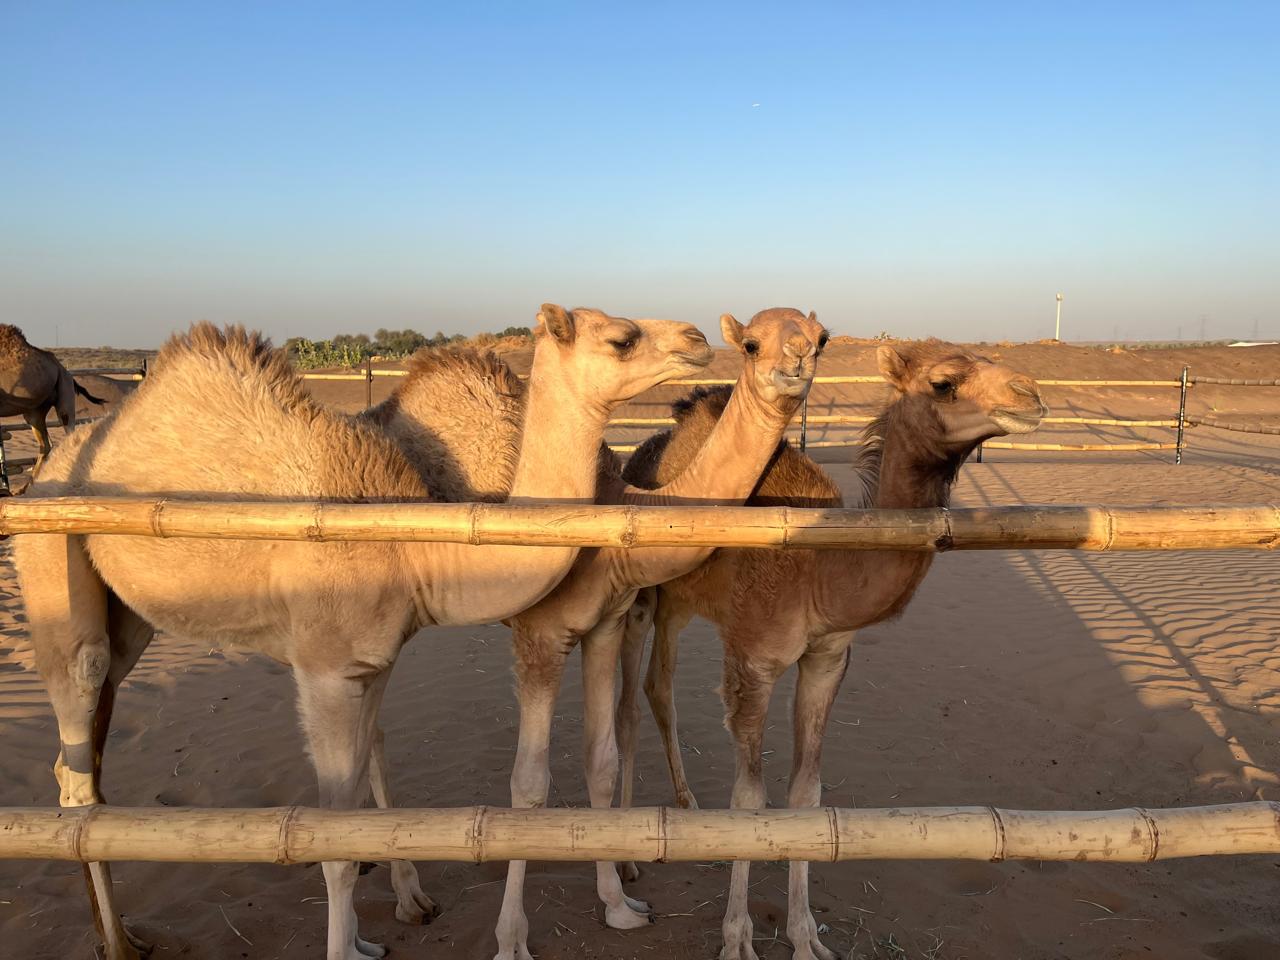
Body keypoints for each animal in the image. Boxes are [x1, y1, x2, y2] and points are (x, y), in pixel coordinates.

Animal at [14, 305, 713, 960]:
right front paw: (349, 946)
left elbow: (352, 804)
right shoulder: (325, 671)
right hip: (51, 564)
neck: (408, 546)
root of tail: (41, 476)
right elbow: (330, 829)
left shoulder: (369, 662)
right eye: (621, 337)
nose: (699, 338)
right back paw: (119, 942)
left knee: (85, 758)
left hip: (128, 618)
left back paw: (119, 932)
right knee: (75, 749)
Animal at [619, 341, 1047, 960]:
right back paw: (626, 857)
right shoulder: (754, 659)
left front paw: (805, 937)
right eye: (943, 383)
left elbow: (806, 794)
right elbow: (749, 799)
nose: (1030, 393)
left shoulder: (825, 659)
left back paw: (686, 804)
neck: (822, 571)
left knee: (660, 688)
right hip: (639, 591)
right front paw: (737, 940)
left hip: (681, 600)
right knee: (626, 704)